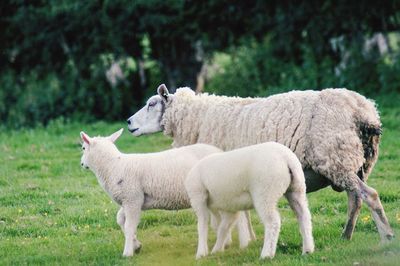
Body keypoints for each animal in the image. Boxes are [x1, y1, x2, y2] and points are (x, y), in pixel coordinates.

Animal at [77, 128, 222, 256]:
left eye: (83, 148)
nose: (81, 164)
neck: (113, 166)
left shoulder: (132, 198)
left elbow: (129, 226)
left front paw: (127, 253)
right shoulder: (131, 200)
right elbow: (120, 220)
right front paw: (136, 245)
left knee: (204, 219)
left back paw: (204, 251)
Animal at [126, 84, 396, 241]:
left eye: (151, 104)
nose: (128, 122)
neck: (198, 119)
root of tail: (365, 112)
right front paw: (250, 240)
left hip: (337, 159)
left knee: (369, 196)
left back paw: (387, 235)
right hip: (355, 164)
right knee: (356, 199)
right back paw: (346, 236)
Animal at [186, 142, 314, 258]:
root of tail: (286, 158)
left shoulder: (198, 196)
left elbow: (202, 224)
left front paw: (201, 253)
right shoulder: (230, 208)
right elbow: (223, 227)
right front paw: (217, 249)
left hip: (265, 192)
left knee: (273, 222)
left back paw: (266, 255)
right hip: (297, 188)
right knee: (304, 216)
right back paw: (308, 249)